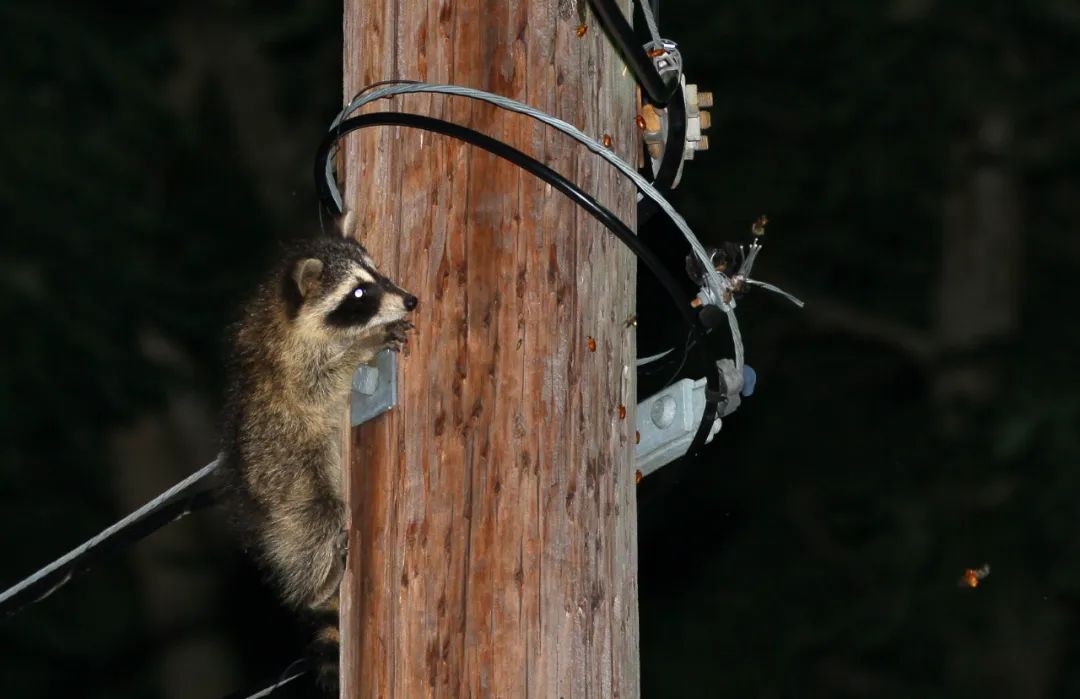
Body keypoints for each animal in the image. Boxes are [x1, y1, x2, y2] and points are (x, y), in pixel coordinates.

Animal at [220, 220, 416, 695]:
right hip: (286, 484)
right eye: (359, 293)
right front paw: (365, 344)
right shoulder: (289, 365)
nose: (410, 299)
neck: (283, 308)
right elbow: (318, 385)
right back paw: (316, 586)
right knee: (318, 516)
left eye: (378, 275)